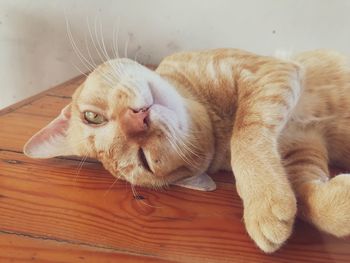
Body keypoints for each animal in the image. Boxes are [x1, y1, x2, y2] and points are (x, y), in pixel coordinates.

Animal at [23, 48, 350, 253]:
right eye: (144, 160)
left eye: (92, 117)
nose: (137, 120)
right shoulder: (301, 149)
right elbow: (309, 199)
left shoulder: (270, 72)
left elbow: (246, 135)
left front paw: (262, 203)